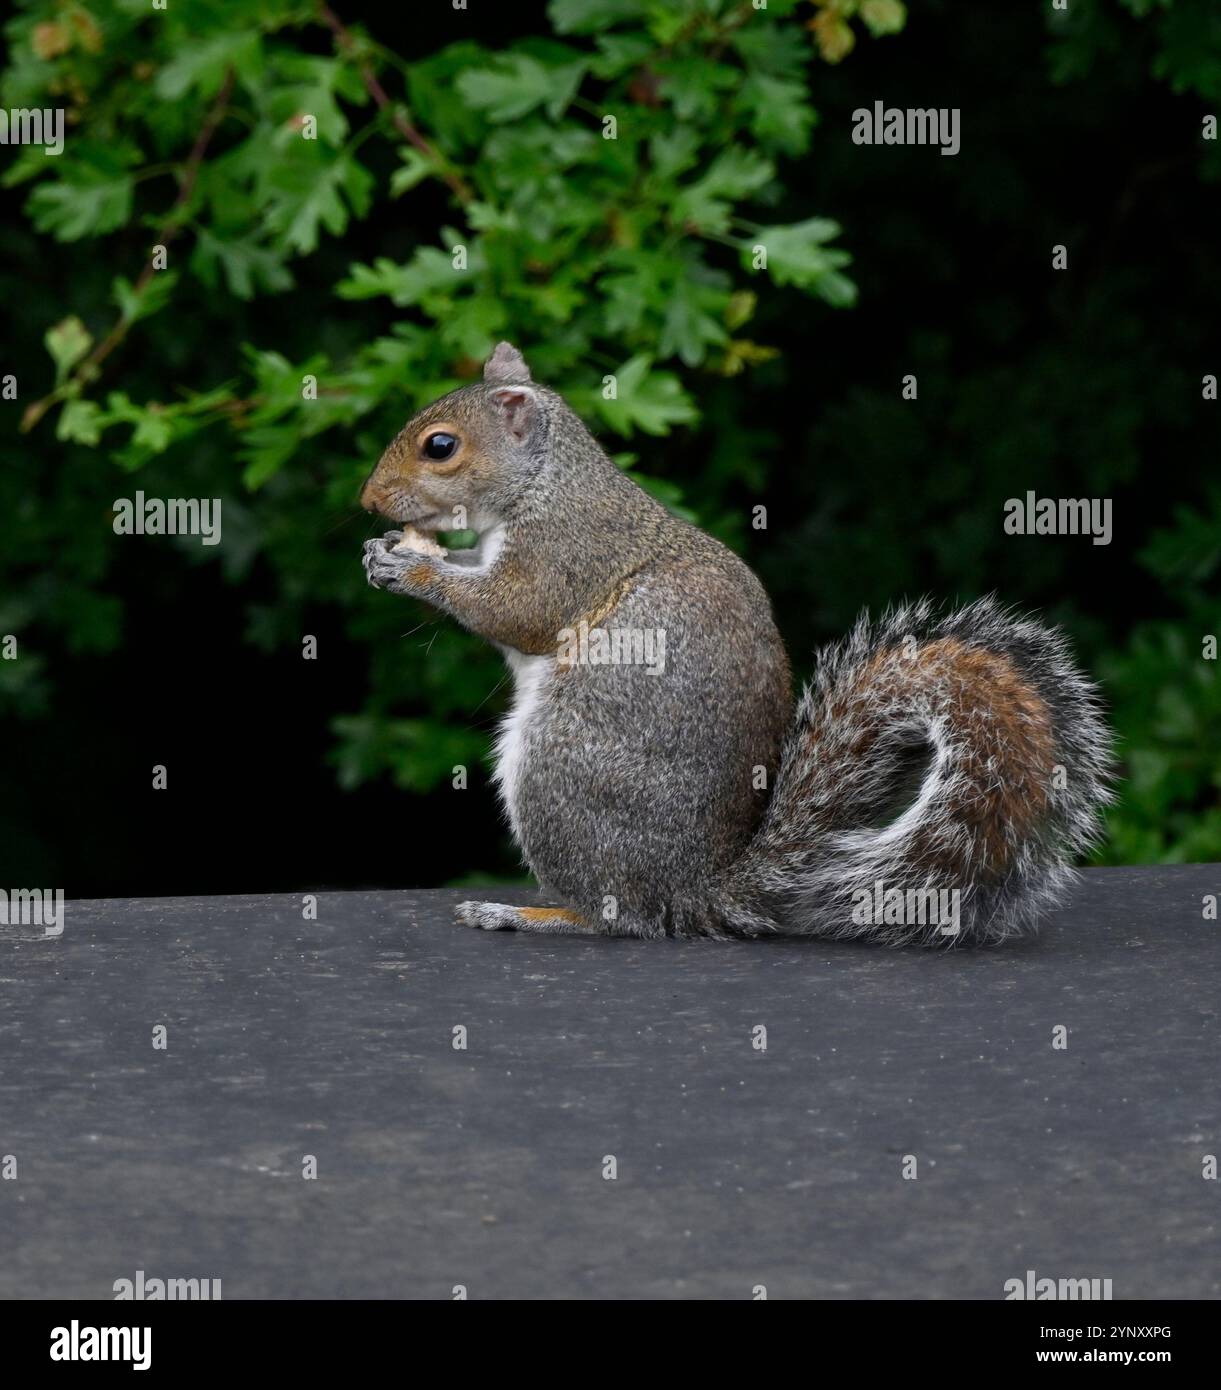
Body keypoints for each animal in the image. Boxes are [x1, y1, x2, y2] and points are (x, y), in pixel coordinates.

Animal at [362, 342, 1113, 944]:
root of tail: (691, 889)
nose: (368, 502)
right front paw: (388, 550)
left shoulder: (566, 552)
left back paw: (530, 914)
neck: (543, 483)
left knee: (616, 917)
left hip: (558, 769)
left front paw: (413, 569)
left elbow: (514, 611)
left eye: (440, 446)